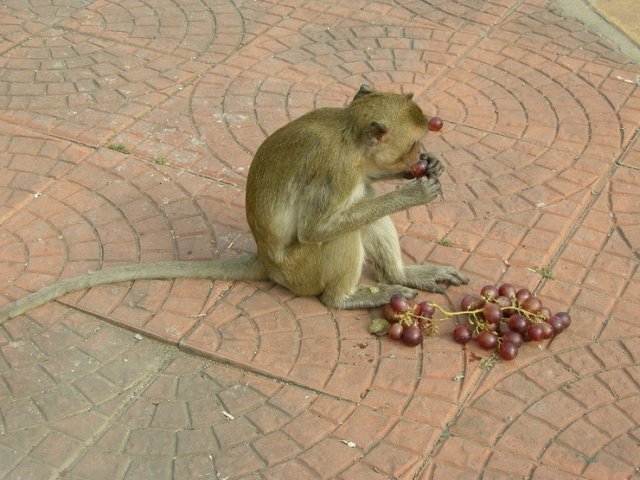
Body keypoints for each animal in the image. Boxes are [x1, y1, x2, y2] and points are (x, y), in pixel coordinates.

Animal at [1, 85, 470, 322]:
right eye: (411, 145)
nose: (418, 158)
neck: (349, 136)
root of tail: (266, 260)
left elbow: (367, 185)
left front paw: (432, 169)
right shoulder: (334, 169)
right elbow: (316, 229)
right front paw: (410, 194)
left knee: (363, 203)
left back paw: (401, 275)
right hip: (301, 271)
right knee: (340, 229)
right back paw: (344, 299)